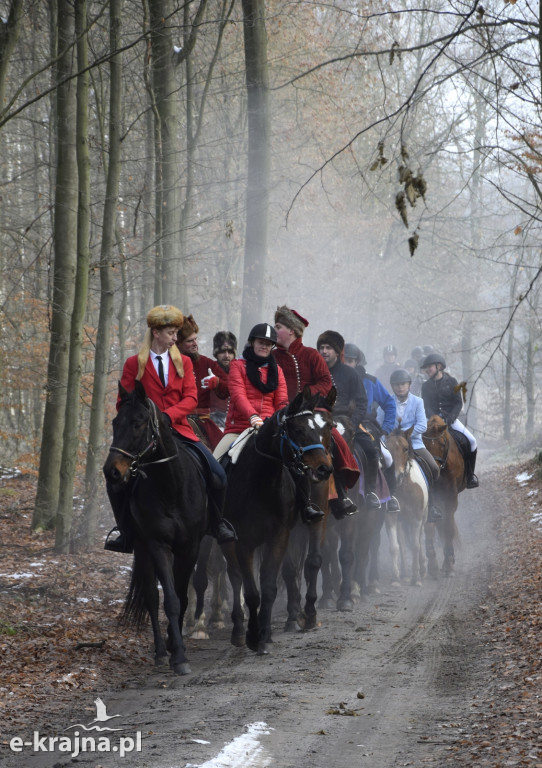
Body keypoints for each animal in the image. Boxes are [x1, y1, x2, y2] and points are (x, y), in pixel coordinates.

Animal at [103, 380, 209, 676]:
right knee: (151, 596)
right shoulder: (157, 544)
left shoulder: (190, 547)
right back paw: (161, 652)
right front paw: (177, 655)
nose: (111, 472)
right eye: (115, 422)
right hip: (140, 546)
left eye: (138, 423)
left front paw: (178, 646)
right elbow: (170, 599)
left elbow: (182, 596)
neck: (170, 486)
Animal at [222, 390, 334, 656]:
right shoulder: (243, 541)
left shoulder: (280, 536)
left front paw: (264, 635)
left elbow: (271, 585)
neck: (260, 481)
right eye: (298, 430)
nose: (324, 469)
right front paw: (253, 637)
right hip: (227, 541)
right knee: (235, 575)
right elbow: (252, 591)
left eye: (326, 428)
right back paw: (238, 631)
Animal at [386, 428, 430, 584]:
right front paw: (395, 578)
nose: (396, 476)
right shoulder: (391, 516)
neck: (404, 487)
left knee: (420, 539)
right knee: (403, 543)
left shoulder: (416, 518)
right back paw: (405, 572)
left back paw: (422, 569)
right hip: (401, 520)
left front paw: (416, 577)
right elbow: (395, 547)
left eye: (405, 448)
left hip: (423, 518)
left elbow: (416, 545)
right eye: (387, 449)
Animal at [422, 414, 466, 576]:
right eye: (423, 445)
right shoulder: (431, 498)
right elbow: (429, 527)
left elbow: (448, 527)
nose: (433, 471)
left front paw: (448, 563)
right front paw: (432, 565)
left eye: (442, 444)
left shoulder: (451, 497)